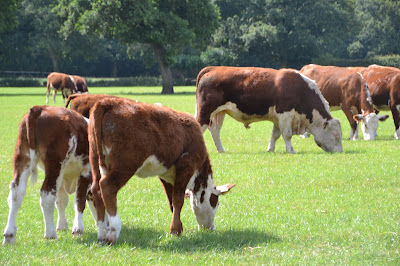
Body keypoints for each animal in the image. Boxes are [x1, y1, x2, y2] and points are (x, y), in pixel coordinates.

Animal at [3, 105, 96, 244]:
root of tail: (39, 108)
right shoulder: (86, 172)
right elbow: (79, 200)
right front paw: (77, 229)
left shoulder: (62, 176)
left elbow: (61, 200)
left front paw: (62, 225)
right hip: (54, 164)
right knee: (46, 194)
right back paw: (50, 234)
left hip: (22, 158)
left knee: (16, 194)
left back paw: (9, 235)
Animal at [87, 96, 234, 244]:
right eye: (216, 203)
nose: (210, 228)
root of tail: (107, 102)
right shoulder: (186, 165)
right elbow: (178, 199)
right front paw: (175, 230)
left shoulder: (165, 174)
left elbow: (171, 201)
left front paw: (178, 227)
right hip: (125, 165)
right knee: (107, 186)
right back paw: (113, 233)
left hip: (96, 159)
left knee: (96, 189)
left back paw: (101, 234)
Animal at [195, 66, 342, 153]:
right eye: (336, 135)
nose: (340, 152)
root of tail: (212, 68)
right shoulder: (285, 115)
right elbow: (287, 134)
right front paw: (291, 150)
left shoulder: (278, 119)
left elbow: (275, 135)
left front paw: (270, 149)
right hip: (205, 112)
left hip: (219, 113)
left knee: (215, 130)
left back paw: (221, 150)